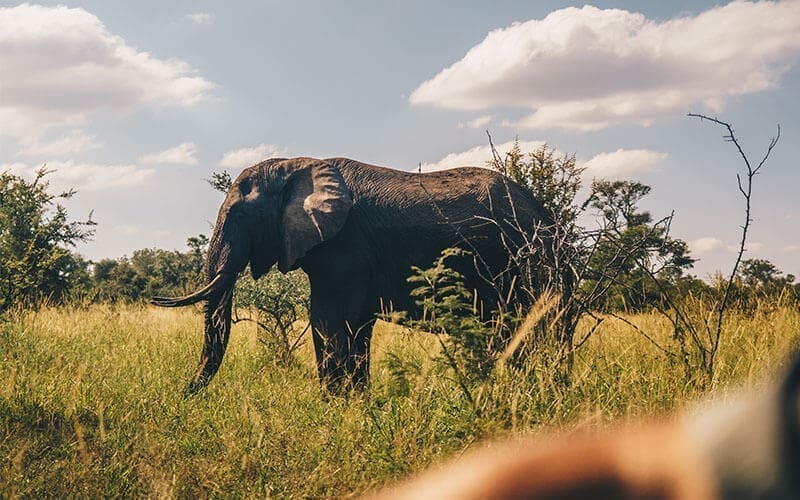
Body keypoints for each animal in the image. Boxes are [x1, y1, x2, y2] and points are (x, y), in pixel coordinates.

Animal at [152, 157, 558, 394]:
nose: (182, 397)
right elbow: (357, 325)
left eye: (238, 214)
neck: (297, 164)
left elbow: (327, 319)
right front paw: (358, 404)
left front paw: (334, 406)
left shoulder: (344, 246)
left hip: (522, 265)